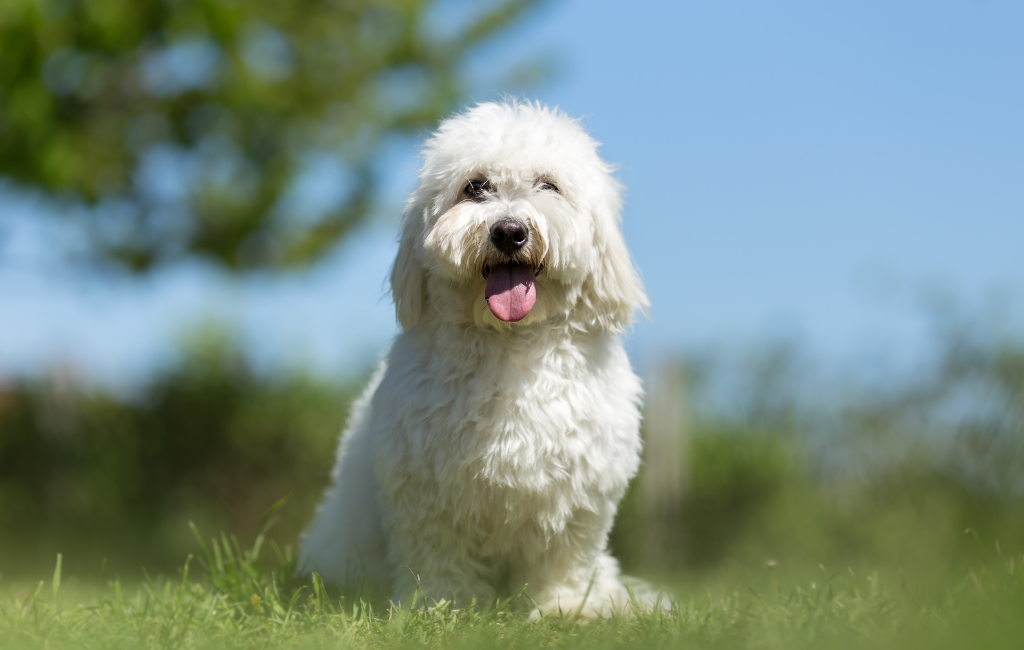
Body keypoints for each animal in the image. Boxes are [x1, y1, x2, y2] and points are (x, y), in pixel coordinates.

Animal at [299, 99, 659, 618]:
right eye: (475, 186)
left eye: (549, 185)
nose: (509, 231)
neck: (509, 346)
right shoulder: (425, 491)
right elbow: (437, 554)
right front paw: (445, 607)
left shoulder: (577, 497)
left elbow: (563, 558)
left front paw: (564, 609)